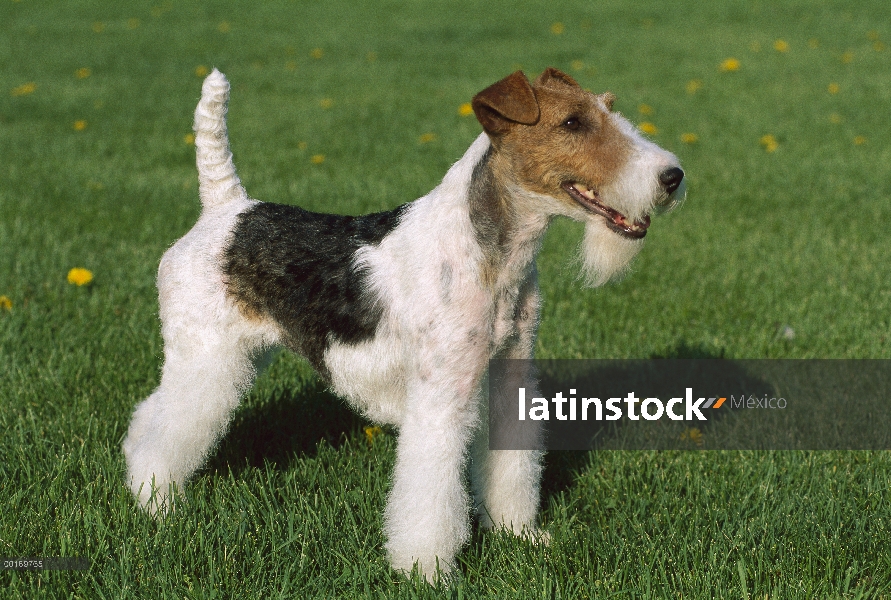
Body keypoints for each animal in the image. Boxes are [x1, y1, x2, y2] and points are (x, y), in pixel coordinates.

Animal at [122, 67, 688, 580]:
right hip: (205, 355)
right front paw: (427, 570)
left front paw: (519, 534)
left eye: (610, 110)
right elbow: (429, 491)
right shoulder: (442, 395)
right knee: (163, 428)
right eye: (573, 122)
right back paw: (156, 501)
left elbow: (511, 466)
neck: (492, 253)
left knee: (150, 416)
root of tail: (226, 208)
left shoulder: (509, 373)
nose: (673, 177)